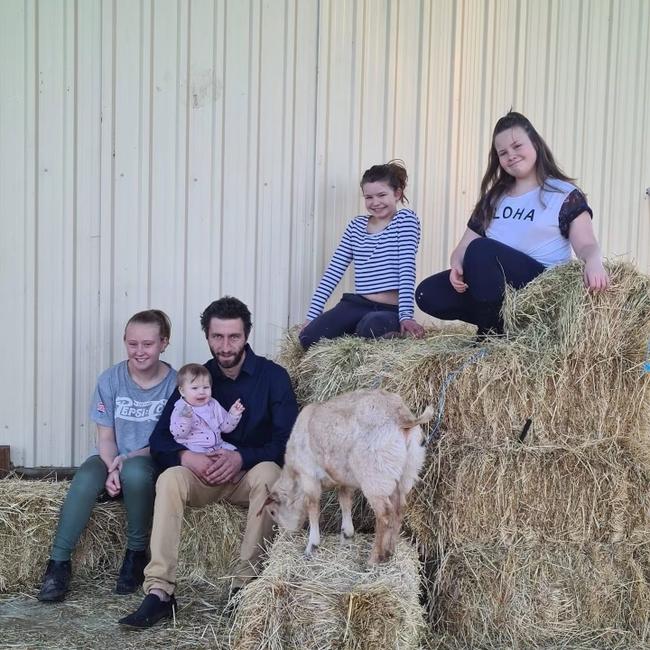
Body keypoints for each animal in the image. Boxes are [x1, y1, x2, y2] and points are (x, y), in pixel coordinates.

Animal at [258, 390, 430, 560]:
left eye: (272, 512)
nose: (286, 535)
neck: (295, 479)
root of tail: (402, 417)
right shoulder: (344, 481)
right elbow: (345, 503)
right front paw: (346, 536)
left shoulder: (309, 477)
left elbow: (313, 509)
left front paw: (312, 546)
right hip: (406, 472)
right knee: (399, 509)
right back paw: (389, 552)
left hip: (375, 476)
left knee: (385, 514)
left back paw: (374, 559)